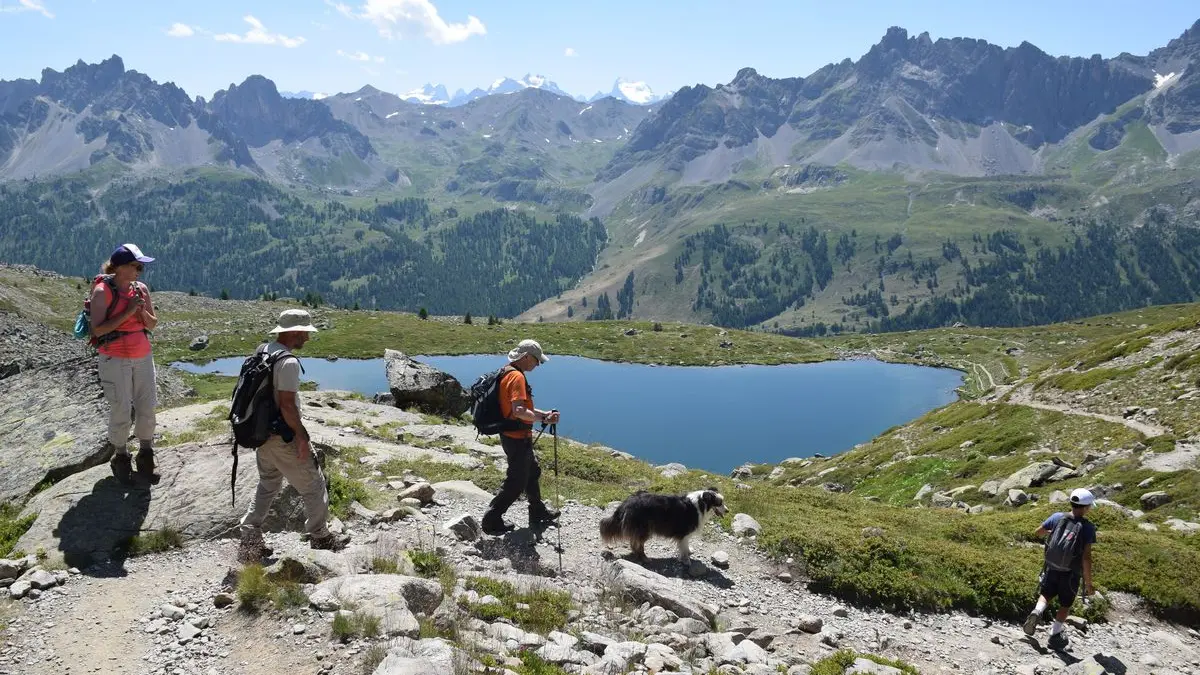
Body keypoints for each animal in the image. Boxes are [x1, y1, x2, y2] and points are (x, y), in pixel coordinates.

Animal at [600, 485, 729, 559]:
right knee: (637, 543)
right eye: (719, 503)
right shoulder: (684, 533)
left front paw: (689, 552)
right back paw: (644, 557)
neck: (702, 504)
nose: (728, 511)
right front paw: (686, 560)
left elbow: (686, 546)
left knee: (634, 541)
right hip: (644, 528)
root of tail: (627, 502)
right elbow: (683, 547)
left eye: (722, 501)